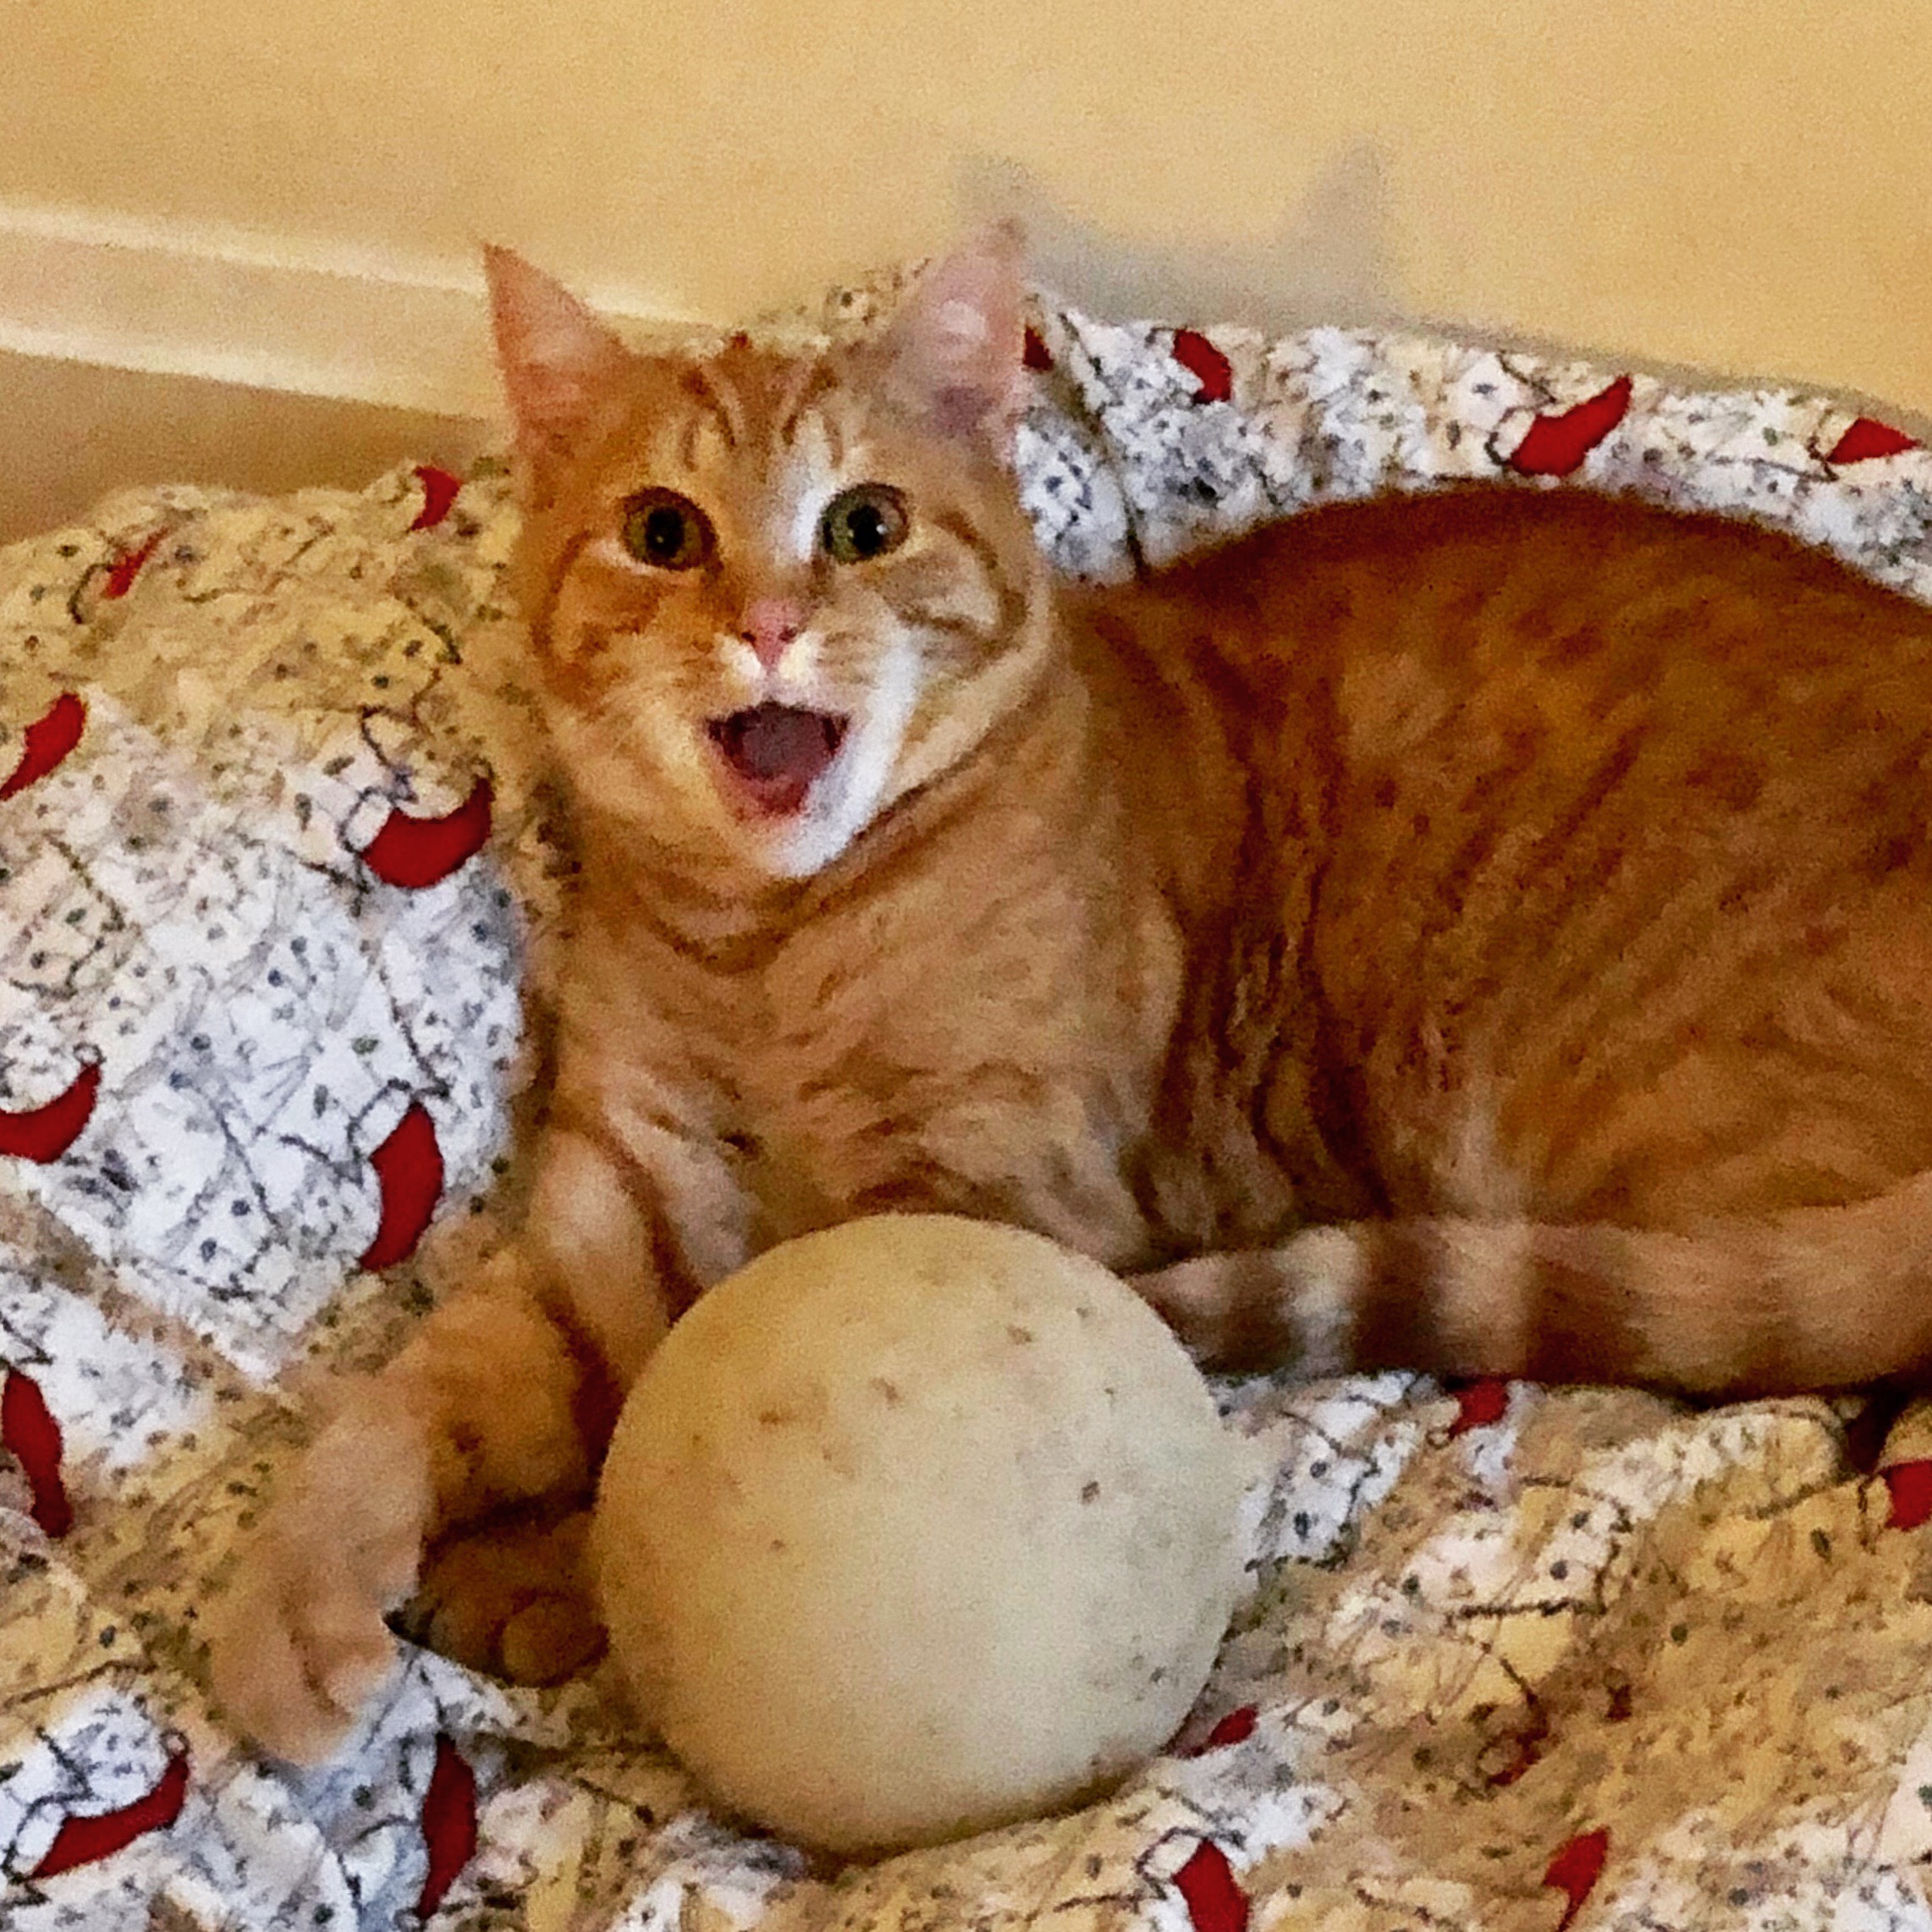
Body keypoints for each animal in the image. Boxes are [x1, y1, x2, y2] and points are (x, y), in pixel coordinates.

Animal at [211, 223, 1932, 1762]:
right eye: (661, 533)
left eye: (862, 525)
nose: (765, 625)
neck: (769, 945)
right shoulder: (614, 1219)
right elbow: (406, 1400)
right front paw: (295, 1599)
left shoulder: (982, 1191)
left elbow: (657, 1452)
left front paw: (539, 1566)